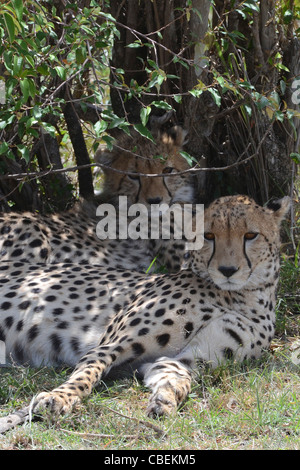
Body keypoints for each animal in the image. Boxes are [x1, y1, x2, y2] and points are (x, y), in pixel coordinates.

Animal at [0, 196, 290, 416]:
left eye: (250, 235)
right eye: (208, 236)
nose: (227, 270)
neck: (238, 297)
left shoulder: (184, 359)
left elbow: (176, 377)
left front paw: (165, 400)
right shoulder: (110, 344)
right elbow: (87, 374)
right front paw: (60, 397)